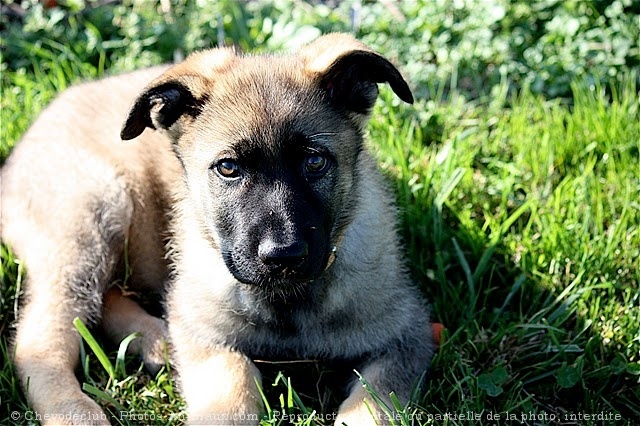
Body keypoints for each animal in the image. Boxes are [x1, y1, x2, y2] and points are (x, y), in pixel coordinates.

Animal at [0, 34, 436, 426]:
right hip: (94, 213)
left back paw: (155, 341)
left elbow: (372, 405)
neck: (286, 302)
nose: (283, 256)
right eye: (228, 167)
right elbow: (231, 387)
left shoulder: (406, 336)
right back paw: (80, 411)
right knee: (39, 340)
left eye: (314, 161)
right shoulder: (208, 338)